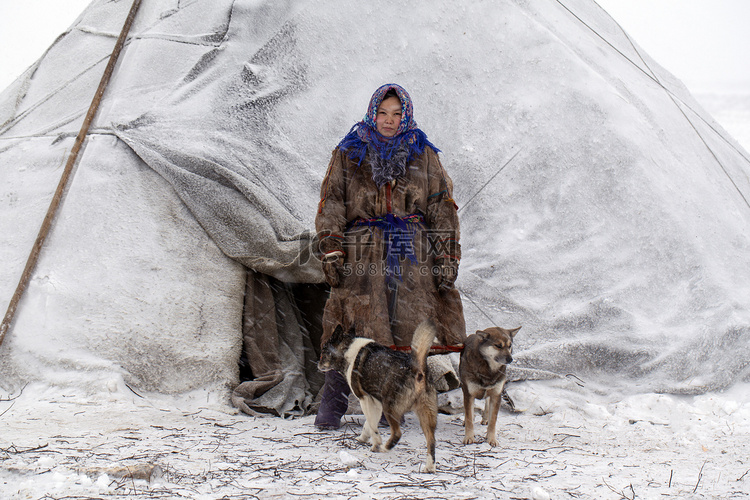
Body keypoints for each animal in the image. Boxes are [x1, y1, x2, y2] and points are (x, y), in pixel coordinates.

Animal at [318, 320, 440, 472]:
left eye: (324, 350)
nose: (318, 364)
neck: (348, 349)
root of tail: (416, 368)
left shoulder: (365, 399)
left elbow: (371, 424)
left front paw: (376, 444)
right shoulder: (375, 403)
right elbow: (369, 424)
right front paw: (363, 438)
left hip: (390, 409)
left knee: (397, 434)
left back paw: (385, 448)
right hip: (426, 415)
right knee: (432, 441)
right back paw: (429, 467)